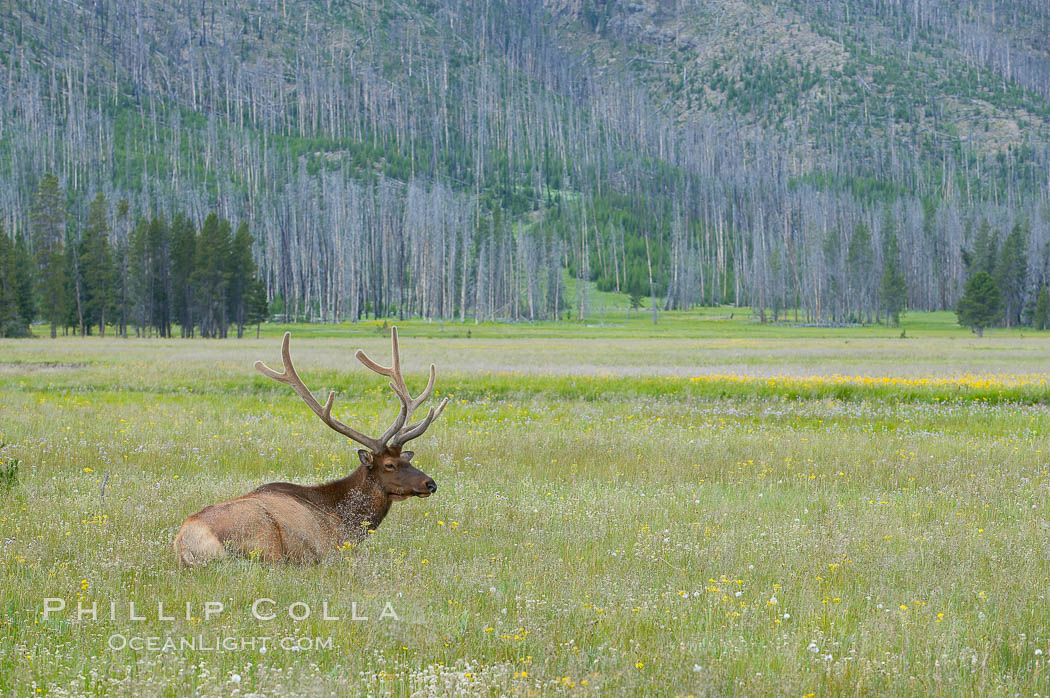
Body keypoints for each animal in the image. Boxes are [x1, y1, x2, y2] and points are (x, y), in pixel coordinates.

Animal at [174, 327, 445, 566]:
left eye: (407, 459)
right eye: (389, 465)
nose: (430, 483)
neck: (347, 521)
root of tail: (186, 543)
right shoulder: (332, 548)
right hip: (264, 539)